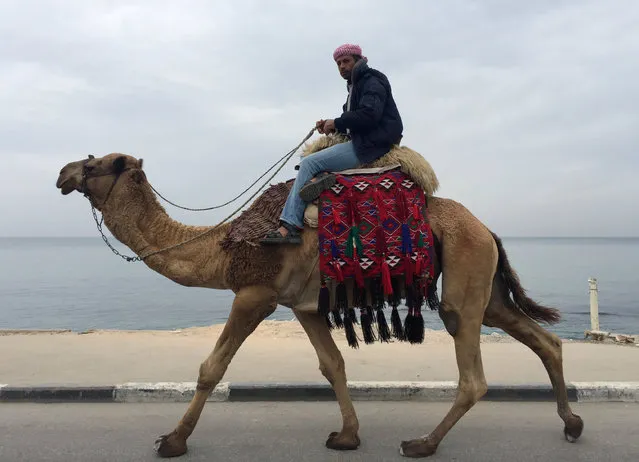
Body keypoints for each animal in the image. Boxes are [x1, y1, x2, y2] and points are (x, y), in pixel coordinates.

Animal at [55, 143, 584, 460]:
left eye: (96, 163)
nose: (62, 173)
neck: (221, 246)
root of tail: (486, 228)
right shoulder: (302, 305)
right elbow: (333, 365)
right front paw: (347, 436)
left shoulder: (256, 294)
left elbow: (212, 367)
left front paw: (173, 440)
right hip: (484, 285)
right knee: (544, 341)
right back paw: (572, 423)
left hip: (464, 275)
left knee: (474, 377)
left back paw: (422, 443)